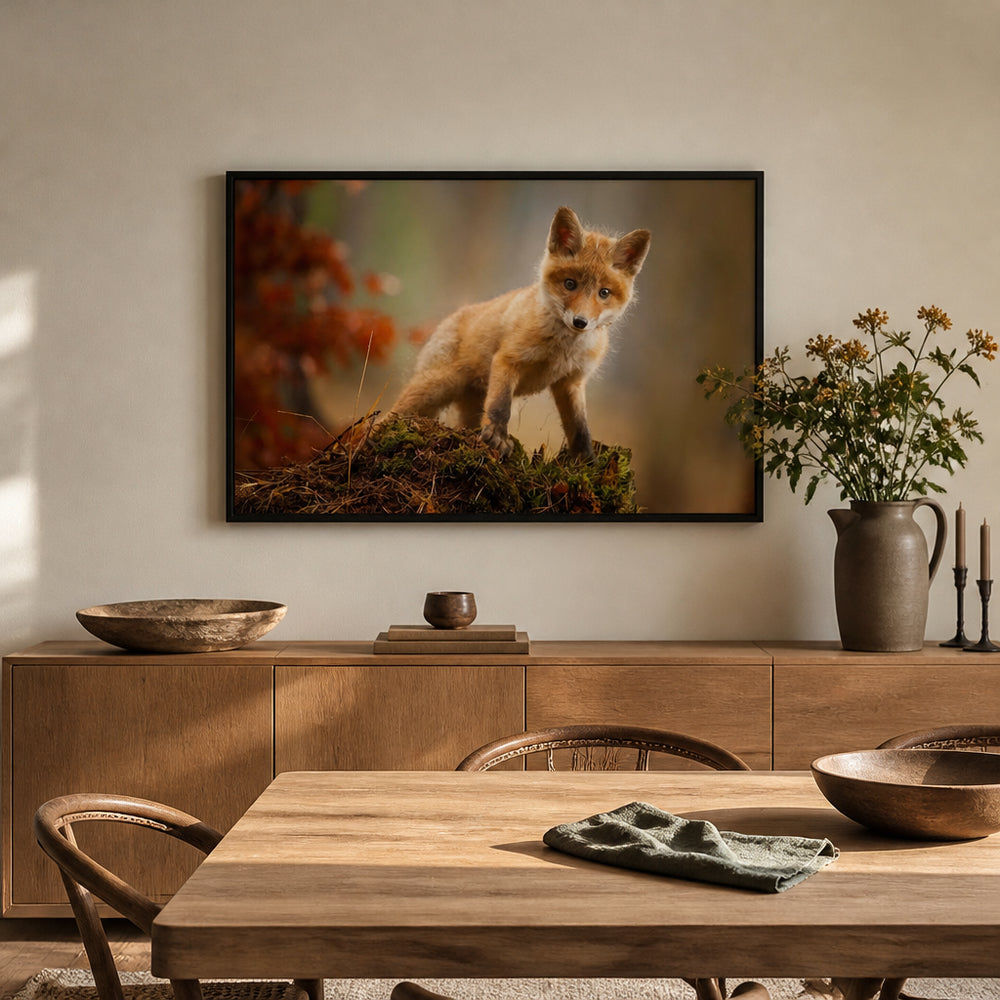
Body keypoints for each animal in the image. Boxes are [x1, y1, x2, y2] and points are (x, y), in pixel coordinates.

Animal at [391, 205, 651, 461]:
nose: (580, 322)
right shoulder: (508, 360)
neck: (562, 350)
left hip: (468, 406)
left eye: (604, 292)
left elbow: (579, 427)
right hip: (435, 387)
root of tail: (450, 317)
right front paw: (497, 438)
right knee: (393, 414)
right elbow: (500, 406)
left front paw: (585, 460)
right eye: (570, 284)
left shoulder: (571, 382)